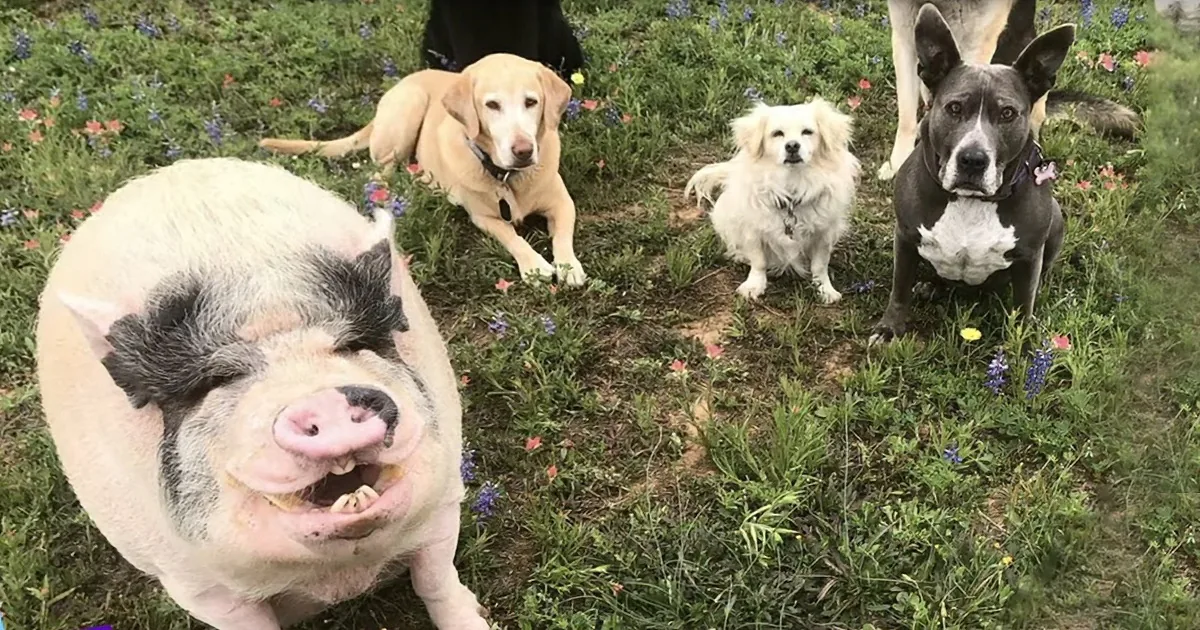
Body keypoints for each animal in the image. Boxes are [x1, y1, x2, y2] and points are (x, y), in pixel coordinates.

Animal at [34, 157, 490, 629]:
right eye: (215, 380)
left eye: (351, 344)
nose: (323, 400)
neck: (340, 573)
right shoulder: (198, 585)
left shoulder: (445, 496)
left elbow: (435, 578)